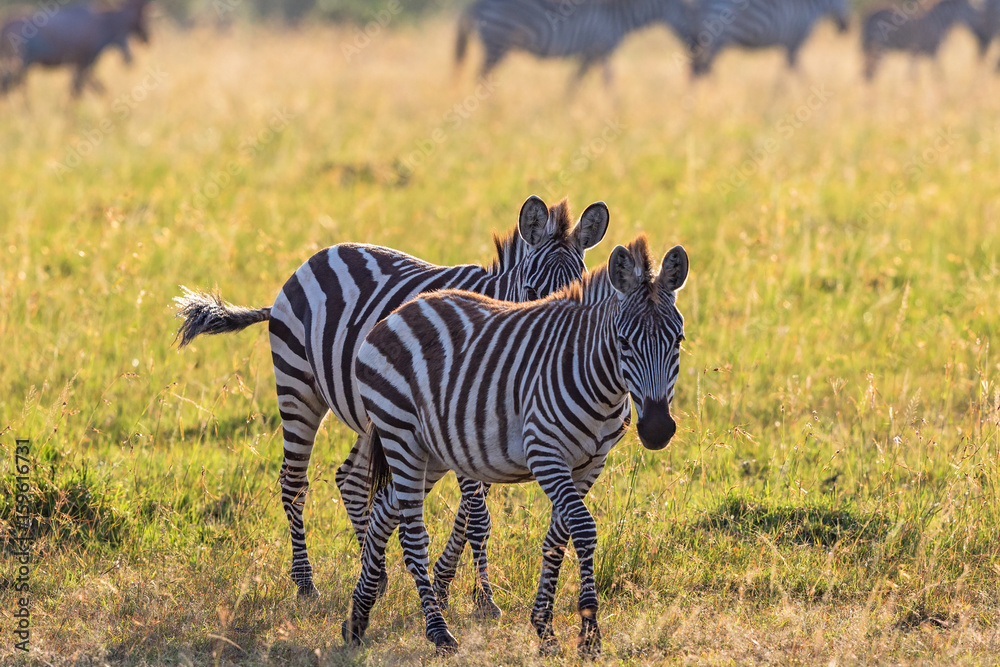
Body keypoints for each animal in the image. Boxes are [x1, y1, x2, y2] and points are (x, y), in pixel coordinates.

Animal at [174, 194, 608, 612]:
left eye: (581, 289)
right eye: (532, 291)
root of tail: (315, 258)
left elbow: (469, 513)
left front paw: (445, 583)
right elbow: (479, 517)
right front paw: (483, 598)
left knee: (349, 478)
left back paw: (376, 574)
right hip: (297, 384)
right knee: (294, 482)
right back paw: (305, 582)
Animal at [346, 237, 688, 656]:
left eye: (677, 341)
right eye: (623, 343)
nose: (656, 430)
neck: (596, 377)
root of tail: (401, 311)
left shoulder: (589, 464)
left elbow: (558, 537)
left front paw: (544, 628)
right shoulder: (545, 453)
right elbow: (583, 529)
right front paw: (589, 632)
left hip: (431, 451)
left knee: (382, 510)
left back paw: (358, 618)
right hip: (401, 434)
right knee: (411, 535)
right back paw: (439, 632)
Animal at [456, 0, 696, 85]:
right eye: (692, 11)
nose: (698, 45)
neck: (619, 16)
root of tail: (474, 5)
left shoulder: (590, 54)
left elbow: (574, 84)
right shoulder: (603, 47)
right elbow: (609, 83)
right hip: (498, 43)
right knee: (482, 77)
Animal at [688, 0, 852, 76]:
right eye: (845, 2)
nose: (845, 28)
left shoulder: (789, 46)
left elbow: (785, 74)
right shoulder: (795, 42)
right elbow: (794, 73)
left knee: (698, 68)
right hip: (719, 38)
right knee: (703, 69)